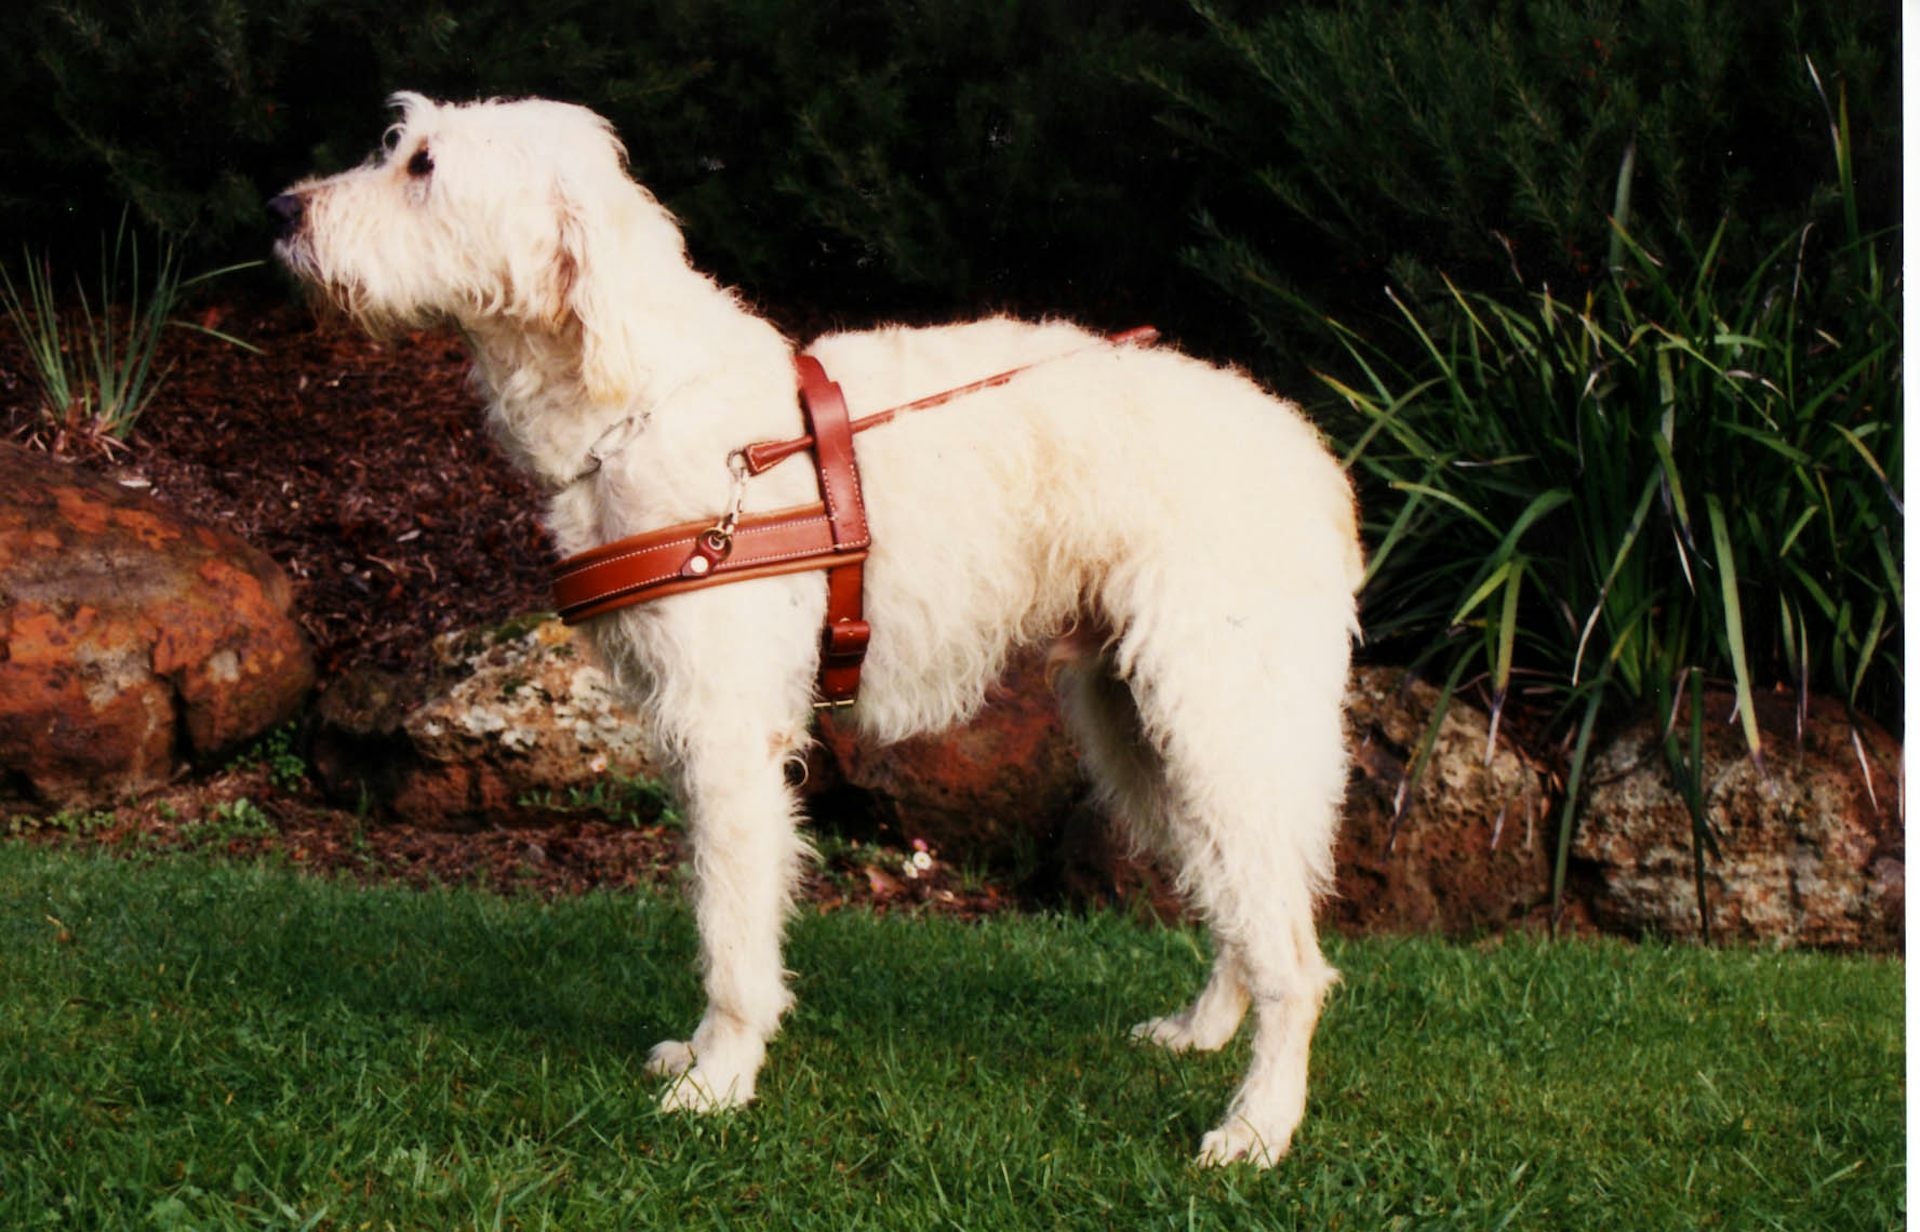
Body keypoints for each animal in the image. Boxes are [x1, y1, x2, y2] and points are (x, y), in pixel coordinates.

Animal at [274, 93, 1367, 1159]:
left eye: (423, 165)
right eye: (398, 143)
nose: (283, 211)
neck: (644, 403)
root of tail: (1312, 455)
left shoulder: (727, 737)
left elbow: (730, 927)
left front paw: (719, 1082)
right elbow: (718, 903)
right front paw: (701, 1056)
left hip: (1219, 719)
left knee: (1295, 956)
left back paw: (1258, 1125)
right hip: (1143, 728)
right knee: (1242, 907)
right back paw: (1203, 1031)